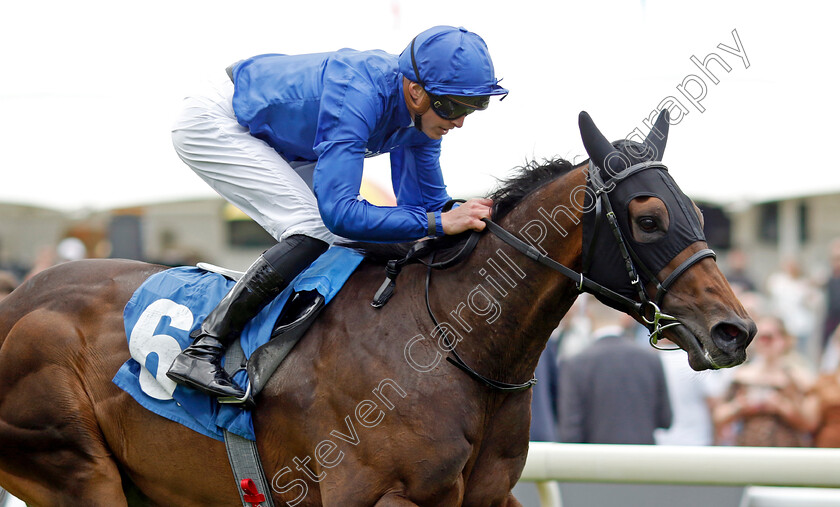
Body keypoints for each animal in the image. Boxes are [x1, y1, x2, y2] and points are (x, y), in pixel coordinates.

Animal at [0, 112, 756, 507]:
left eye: (699, 211)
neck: (451, 341)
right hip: (73, 467)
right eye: (649, 217)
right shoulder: (377, 497)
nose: (735, 329)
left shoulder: (488, 497)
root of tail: (20, 298)